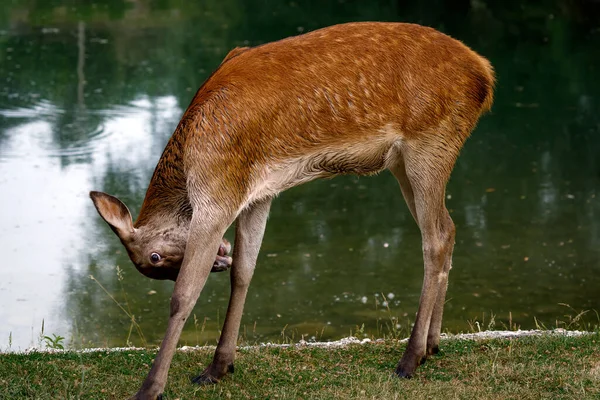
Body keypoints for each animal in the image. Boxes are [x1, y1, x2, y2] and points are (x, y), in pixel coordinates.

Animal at [88, 22, 492, 400]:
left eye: (154, 258)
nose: (220, 257)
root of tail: (485, 76)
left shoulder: (216, 192)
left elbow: (184, 295)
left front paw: (150, 387)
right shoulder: (256, 195)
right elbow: (244, 273)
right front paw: (219, 367)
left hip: (430, 143)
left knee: (434, 239)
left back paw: (409, 359)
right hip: (403, 163)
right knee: (448, 228)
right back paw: (432, 345)